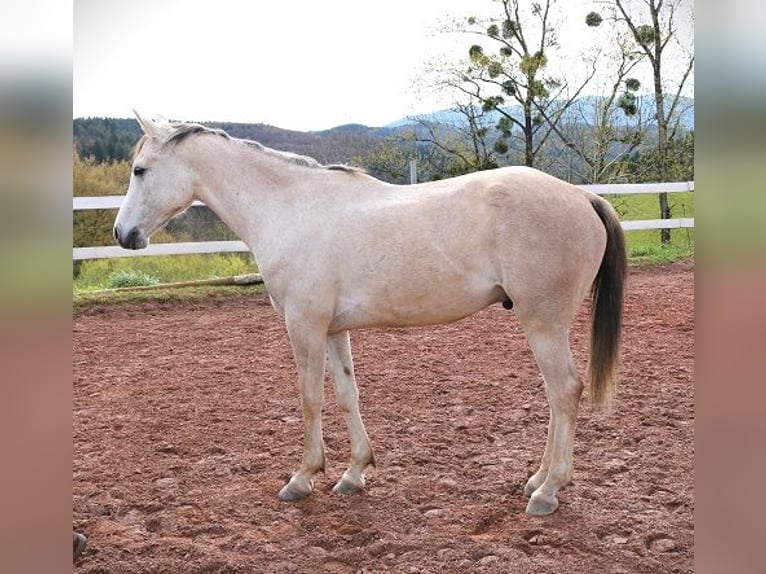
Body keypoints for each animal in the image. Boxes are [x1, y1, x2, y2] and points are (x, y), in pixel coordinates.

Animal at [114, 111, 626, 516]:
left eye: (140, 170)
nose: (123, 234)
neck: (290, 209)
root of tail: (582, 197)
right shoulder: (332, 330)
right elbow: (347, 394)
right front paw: (354, 473)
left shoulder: (303, 326)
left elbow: (310, 399)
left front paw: (302, 479)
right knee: (556, 397)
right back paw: (536, 479)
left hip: (543, 322)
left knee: (564, 391)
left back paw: (548, 491)